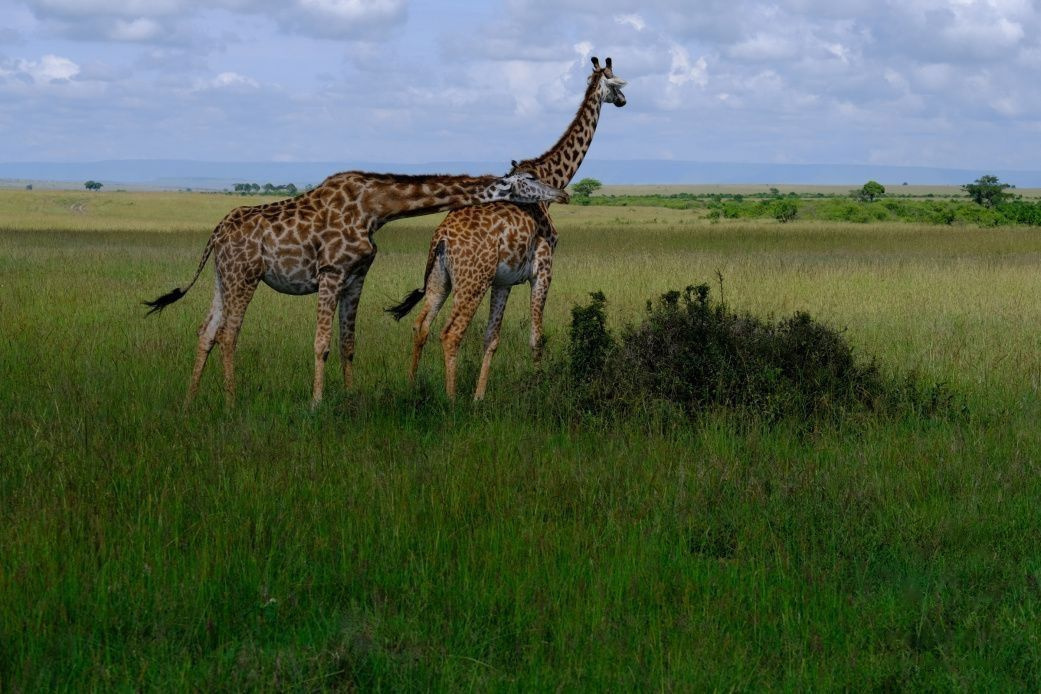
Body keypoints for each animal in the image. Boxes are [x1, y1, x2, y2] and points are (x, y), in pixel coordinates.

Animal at [144, 168, 570, 407]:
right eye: (530, 180)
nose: (563, 193)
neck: (376, 209)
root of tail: (215, 234)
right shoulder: (331, 272)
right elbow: (321, 343)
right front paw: (316, 404)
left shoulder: (356, 276)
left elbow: (348, 343)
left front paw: (349, 398)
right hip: (244, 275)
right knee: (229, 334)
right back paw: (231, 403)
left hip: (223, 275)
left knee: (206, 331)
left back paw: (190, 400)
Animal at [385, 56, 620, 399]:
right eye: (617, 83)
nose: (624, 100)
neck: (551, 176)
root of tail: (441, 238)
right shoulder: (543, 269)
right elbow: (536, 337)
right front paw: (538, 388)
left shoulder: (504, 281)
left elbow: (491, 338)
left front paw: (479, 397)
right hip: (472, 281)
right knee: (450, 333)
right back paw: (450, 399)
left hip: (440, 279)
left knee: (421, 325)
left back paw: (412, 387)